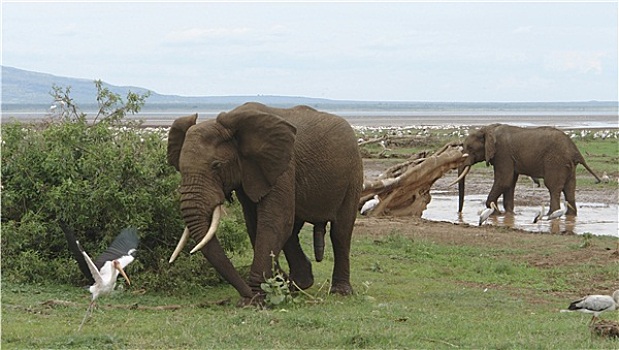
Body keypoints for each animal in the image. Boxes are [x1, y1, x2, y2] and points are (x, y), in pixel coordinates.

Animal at [167, 102, 366, 304]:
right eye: (180, 168)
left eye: (216, 166)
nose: (246, 297)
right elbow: (255, 224)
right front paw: (274, 287)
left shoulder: (283, 165)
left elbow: (274, 220)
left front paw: (257, 300)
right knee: (292, 233)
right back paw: (297, 285)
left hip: (354, 174)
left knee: (340, 232)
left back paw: (339, 292)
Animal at [456, 123, 600, 216]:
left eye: (469, 148)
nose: (459, 212)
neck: (487, 129)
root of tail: (575, 150)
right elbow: (510, 183)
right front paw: (509, 214)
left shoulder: (503, 154)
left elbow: (504, 180)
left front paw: (496, 213)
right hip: (568, 165)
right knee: (569, 188)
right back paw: (570, 216)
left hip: (556, 161)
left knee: (553, 187)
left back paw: (550, 214)